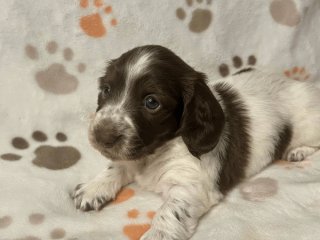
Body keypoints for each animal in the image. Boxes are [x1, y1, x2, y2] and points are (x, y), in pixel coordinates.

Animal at [71, 45, 320, 240]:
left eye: (151, 102)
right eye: (106, 90)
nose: (102, 137)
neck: (156, 152)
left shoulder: (191, 186)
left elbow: (169, 211)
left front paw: (158, 234)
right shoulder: (131, 156)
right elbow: (116, 166)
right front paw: (94, 188)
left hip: (310, 124)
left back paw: (297, 151)